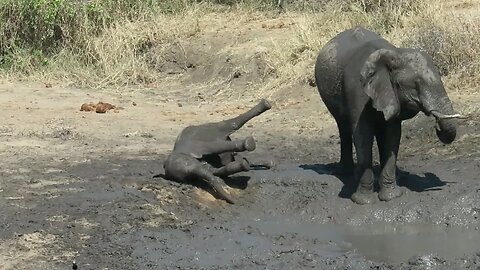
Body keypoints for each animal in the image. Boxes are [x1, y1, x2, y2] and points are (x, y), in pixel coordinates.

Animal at [316, 26, 464, 205]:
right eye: (415, 84)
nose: (437, 126)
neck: (393, 56)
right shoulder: (357, 91)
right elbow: (362, 135)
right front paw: (363, 201)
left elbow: (391, 136)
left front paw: (391, 196)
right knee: (343, 127)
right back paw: (346, 173)